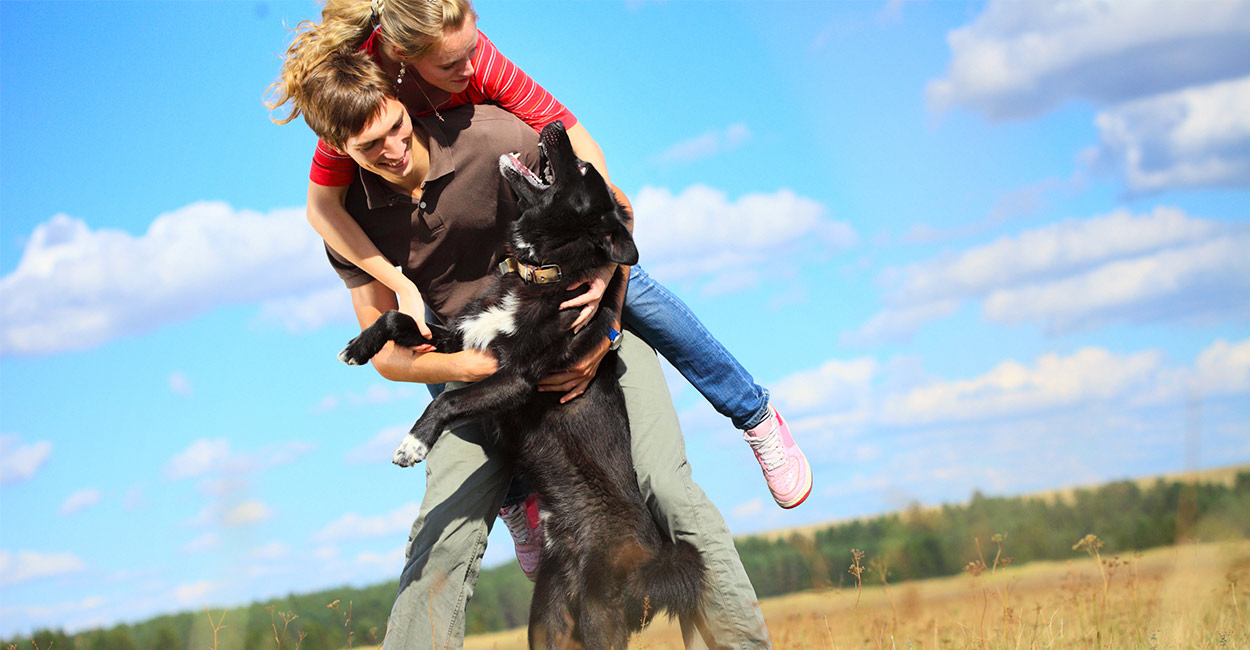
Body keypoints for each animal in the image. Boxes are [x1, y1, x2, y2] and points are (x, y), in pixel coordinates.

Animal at [340, 123, 705, 650]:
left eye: (583, 169)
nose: (554, 126)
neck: (540, 273)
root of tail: (651, 561)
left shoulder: (515, 380)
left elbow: (451, 399)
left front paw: (413, 443)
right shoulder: (463, 340)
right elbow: (397, 318)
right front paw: (360, 346)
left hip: (599, 620)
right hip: (548, 620)